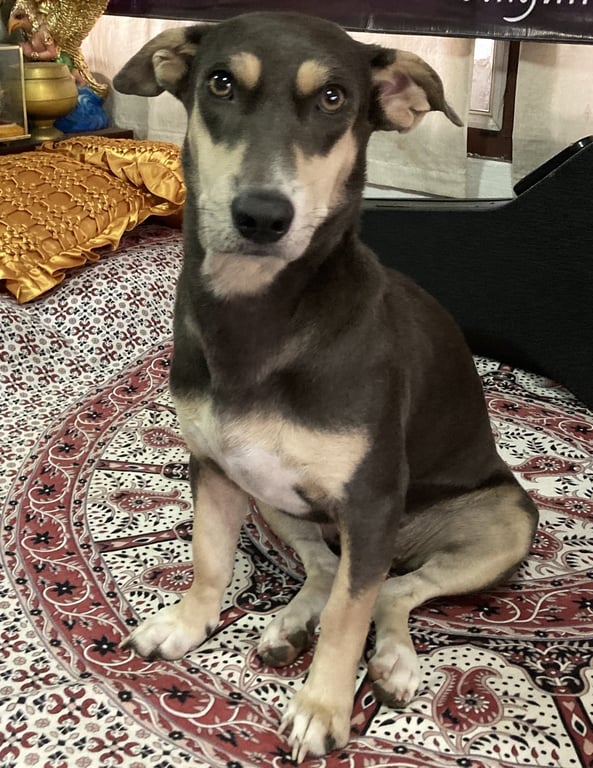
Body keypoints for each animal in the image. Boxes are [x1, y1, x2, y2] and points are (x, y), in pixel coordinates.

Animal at [114, 12, 538, 762]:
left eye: (335, 99)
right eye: (220, 83)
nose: (261, 215)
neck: (260, 315)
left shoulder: (369, 502)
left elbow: (350, 614)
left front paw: (321, 707)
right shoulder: (216, 467)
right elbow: (208, 560)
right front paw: (188, 624)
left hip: (501, 523)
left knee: (394, 589)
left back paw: (392, 661)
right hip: (272, 494)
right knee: (321, 566)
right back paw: (289, 625)